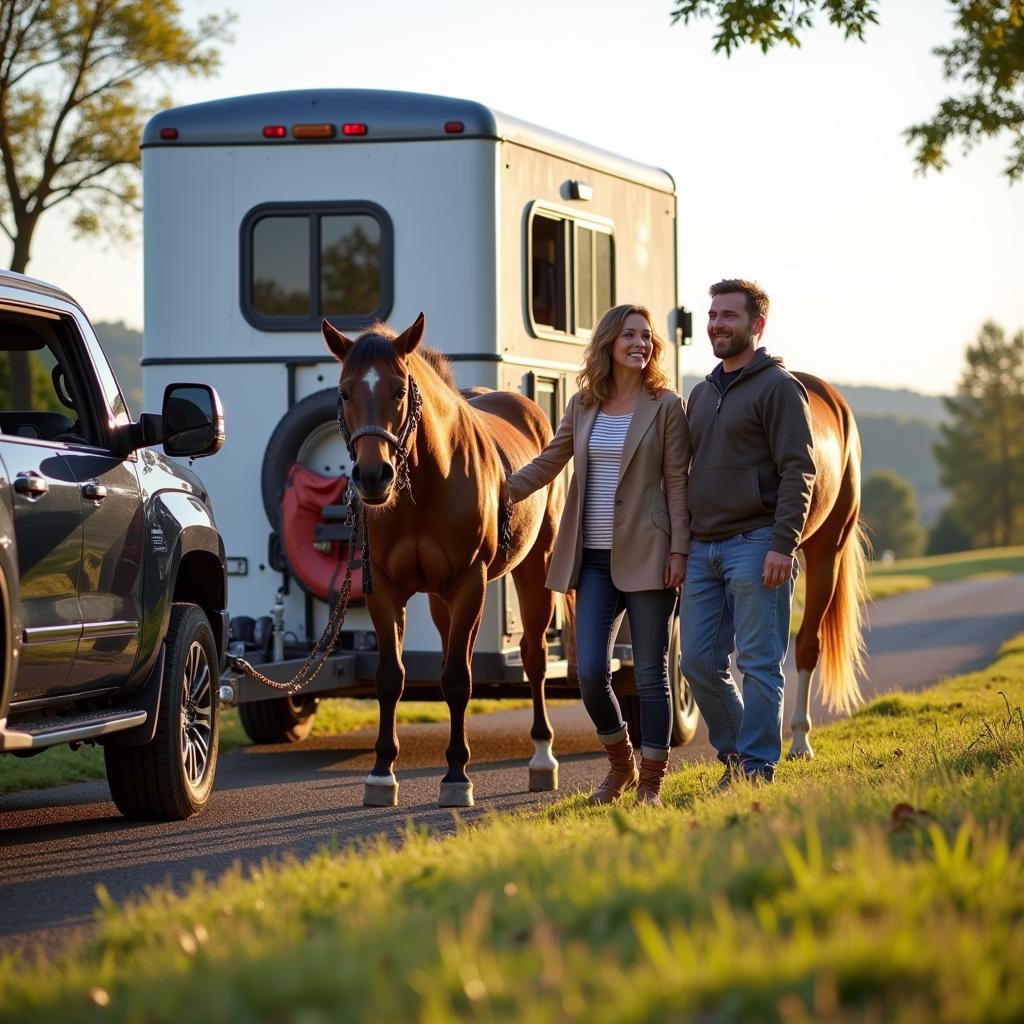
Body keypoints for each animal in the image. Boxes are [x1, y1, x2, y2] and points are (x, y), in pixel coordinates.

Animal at [321, 311, 569, 806]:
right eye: (344, 392)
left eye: (399, 390)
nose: (373, 476)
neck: (426, 484)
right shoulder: (384, 588)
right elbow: (391, 677)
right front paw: (382, 773)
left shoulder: (469, 582)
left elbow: (457, 679)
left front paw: (456, 775)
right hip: (441, 600)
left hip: (536, 567)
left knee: (533, 658)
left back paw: (541, 759)